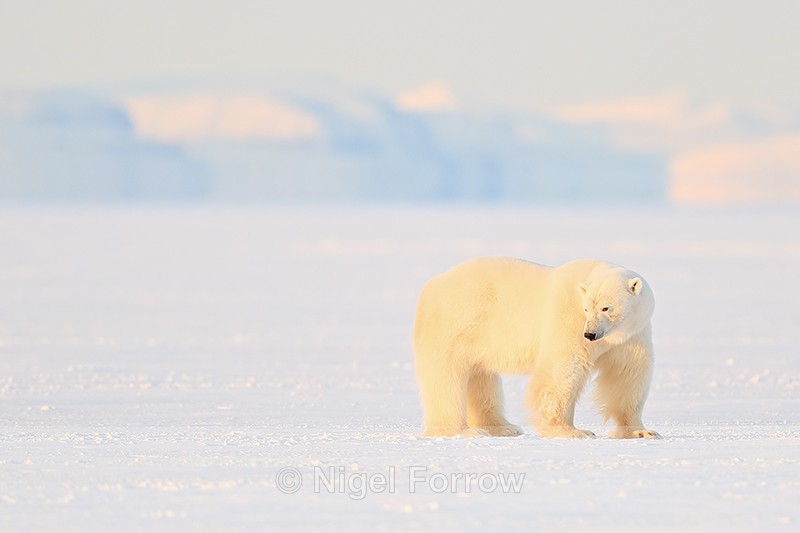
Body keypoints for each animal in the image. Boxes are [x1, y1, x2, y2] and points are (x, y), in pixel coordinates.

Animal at [412, 257, 660, 439]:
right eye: (587, 308)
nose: (590, 334)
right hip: (455, 323)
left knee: (481, 378)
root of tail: (430, 286)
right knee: (446, 378)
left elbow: (627, 376)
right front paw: (571, 431)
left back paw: (503, 427)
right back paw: (461, 431)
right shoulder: (568, 321)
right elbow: (562, 370)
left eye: (606, 307)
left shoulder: (632, 336)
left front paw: (642, 431)